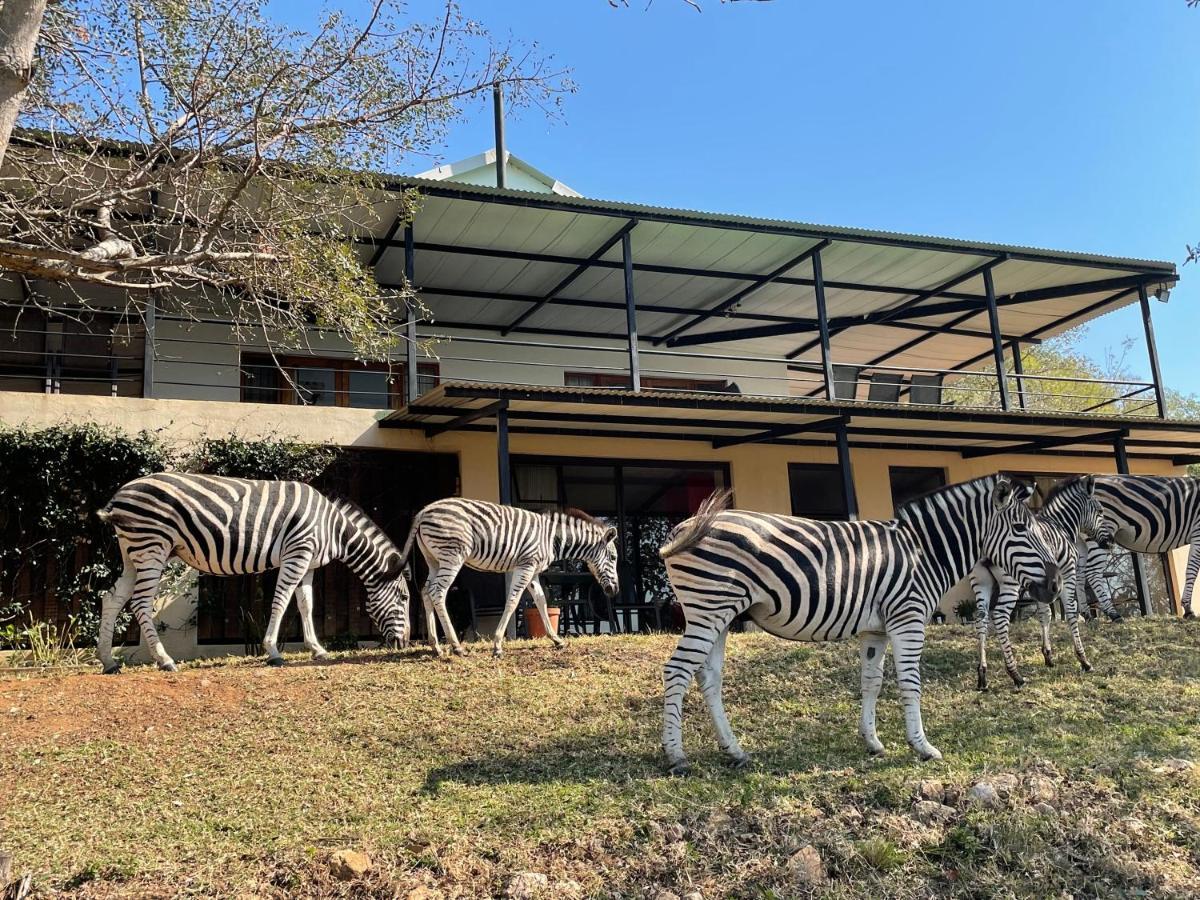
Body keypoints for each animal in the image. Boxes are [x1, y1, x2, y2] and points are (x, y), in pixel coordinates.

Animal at [94, 475, 412, 672]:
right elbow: (281, 602)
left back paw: (108, 661)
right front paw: (273, 652)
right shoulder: (297, 554)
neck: (332, 527)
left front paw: (317, 649)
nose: (406, 643)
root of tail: (120, 494)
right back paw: (164, 660)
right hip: (153, 546)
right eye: (405, 598)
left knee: (112, 598)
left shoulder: (308, 563)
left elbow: (306, 605)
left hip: (132, 552)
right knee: (140, 603)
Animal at [398, 496, 619, 657]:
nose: (614, 590)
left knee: (426, 591)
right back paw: (456, 646)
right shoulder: (526, 566)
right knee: (438, 592)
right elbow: (513, 601)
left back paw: (435, 646)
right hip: (452, 556)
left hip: (434, 560)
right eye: (614, 557)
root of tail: (424, 510)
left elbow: (541, 601)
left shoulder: (533, 570)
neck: (552, 539)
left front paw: (557, 640)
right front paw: (497, 645)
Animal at [657, 472, 1060, 777]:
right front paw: (922, 747)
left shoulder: (876, 629)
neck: (924, 552)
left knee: (708, 677)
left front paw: (873, 742)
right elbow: (910, 684)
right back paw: (676, 756)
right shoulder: (908, 619)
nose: (1055, 586)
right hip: (709, 607)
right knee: (677, 671)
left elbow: (872, 682)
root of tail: (682, 528)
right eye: (1021, 528)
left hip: (720, 614)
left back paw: (734, 750)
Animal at [964, 475, 1104, 696]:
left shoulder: (1043, 584)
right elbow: (1071, 613)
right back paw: (1015, 674)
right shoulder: (1067, 573)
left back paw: (982, 676)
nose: (1109, 543)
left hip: (981, 582)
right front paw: (1083, 660)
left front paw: (1048, 656)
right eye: (1100, 511)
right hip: (1010, 582)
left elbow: (1044, 615)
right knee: (1000, 616)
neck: (1061, 524)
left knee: (981, 618)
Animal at [1084, 475, 1195, 624]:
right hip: (1099, 532)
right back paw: (1114, 615)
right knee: (1092, 572)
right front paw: (1188, 610)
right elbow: (1192, 570)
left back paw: (1087, 616)